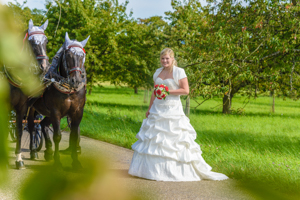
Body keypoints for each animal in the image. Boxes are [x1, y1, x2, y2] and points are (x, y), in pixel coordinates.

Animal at [7, 19, 49, 169]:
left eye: (46, 41)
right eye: (32, 42)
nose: (44, 67)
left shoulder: (21, 106)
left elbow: (20, 130)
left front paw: (19, 159)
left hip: (32, 108)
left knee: (32, 127)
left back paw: (33, 151)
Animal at [29, 32, 90, 170]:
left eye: (83, 56)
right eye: (68, 55)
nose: (76, 80)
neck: (69, 90)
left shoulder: (77, 113)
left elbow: (74, 136)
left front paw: (75, 162)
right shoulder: (55, 112)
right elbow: (57, 136)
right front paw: (57, 162)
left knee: (43, 124)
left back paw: (48, 151)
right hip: (32, 109)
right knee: (31, 128)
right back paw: (33, 151)